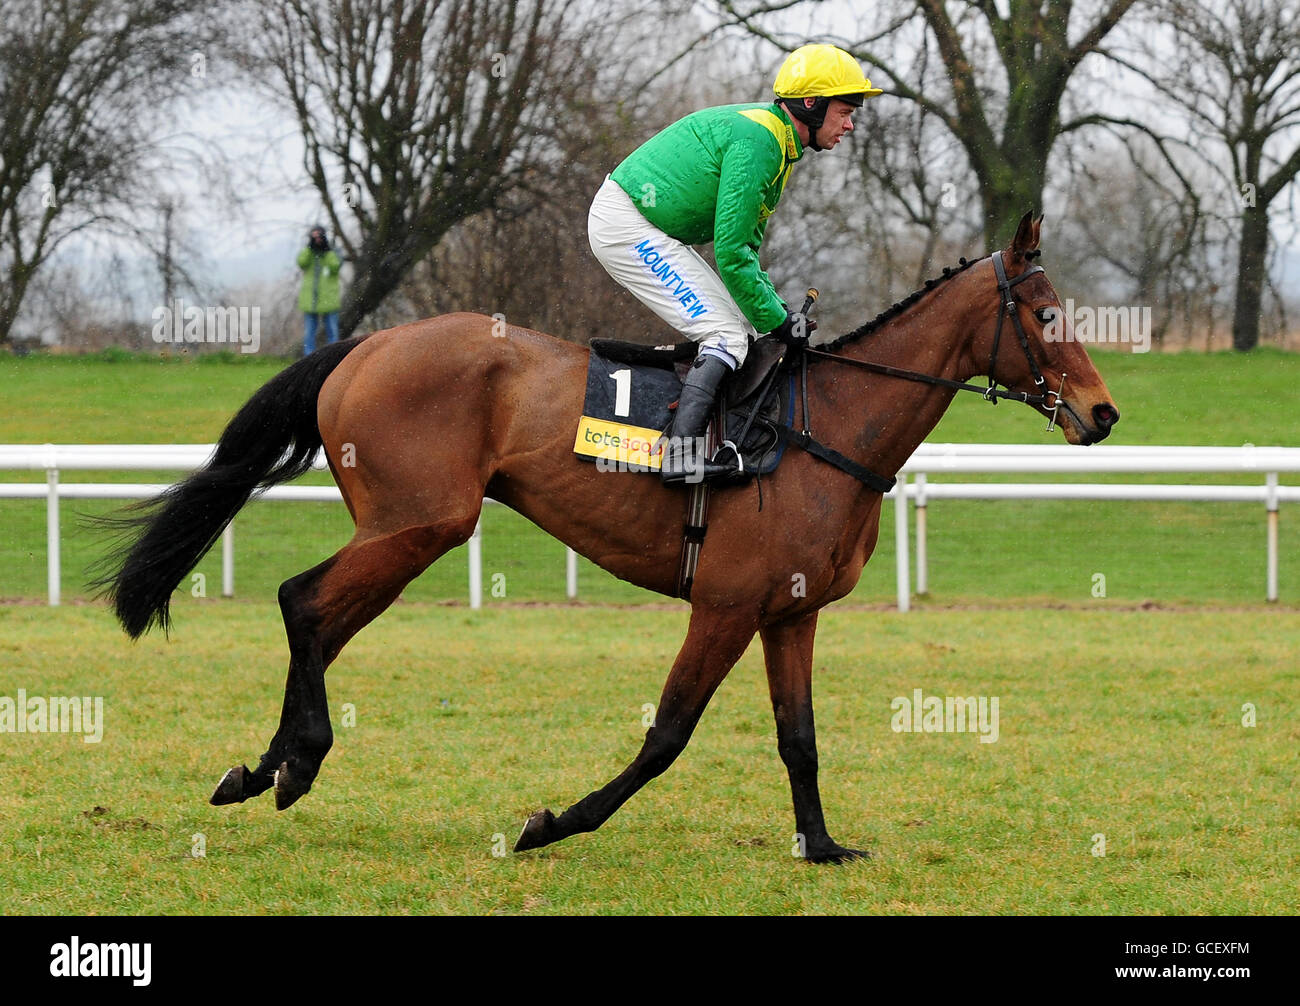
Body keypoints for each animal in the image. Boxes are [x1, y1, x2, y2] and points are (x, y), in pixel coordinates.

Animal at [98, 213, 1118, 868]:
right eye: (1044, 313)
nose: (1104, 413)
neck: (824, 426)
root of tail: (364, 345)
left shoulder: (790, 613)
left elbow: (800, 739)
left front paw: (823, 846)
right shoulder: (726, 604)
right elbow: (667, 735)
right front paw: (553, 825)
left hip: (405, 528)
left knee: (319, 618)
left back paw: (261, 767)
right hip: (422, 522)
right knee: (302, 602)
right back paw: (299, 760)